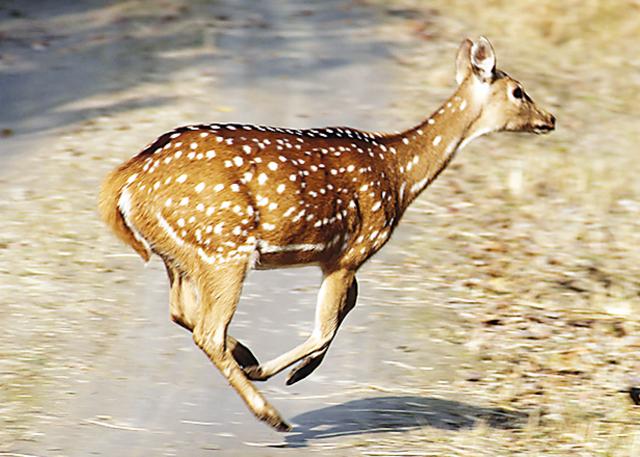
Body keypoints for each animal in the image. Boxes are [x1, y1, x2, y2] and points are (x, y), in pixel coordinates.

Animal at [99, 37, 555, 432]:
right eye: (518, 91)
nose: (550, 118)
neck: (399, 175)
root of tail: (125, 182)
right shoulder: (353, 250)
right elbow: (329, 322)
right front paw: (285, 373)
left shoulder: (334, 257)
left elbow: (345, 308)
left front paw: (280, 368)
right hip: (224, 245)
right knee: (207, 330)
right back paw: (272, 414)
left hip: (178, 254)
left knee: (182, 311)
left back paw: (245, 355)